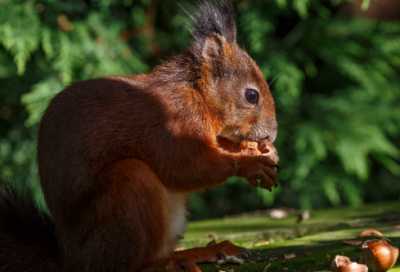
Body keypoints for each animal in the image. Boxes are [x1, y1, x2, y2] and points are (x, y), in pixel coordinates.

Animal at [0, 1, 278, 270]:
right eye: (251, 95)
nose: (273, 133)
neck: (196, 93)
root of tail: (71, 259)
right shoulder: (174, 125)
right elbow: (186, 168)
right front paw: (250, 163)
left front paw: (254, 151)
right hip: (127, 190)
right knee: (130, 263)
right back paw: (167, 264)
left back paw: (204, 251)